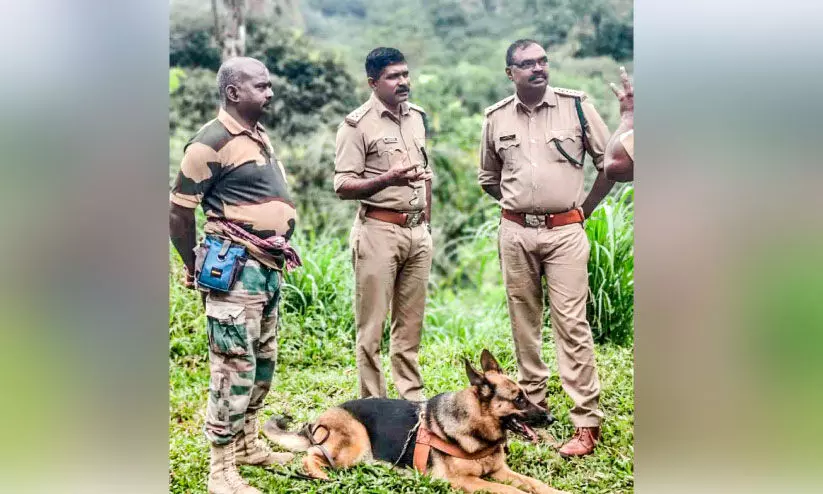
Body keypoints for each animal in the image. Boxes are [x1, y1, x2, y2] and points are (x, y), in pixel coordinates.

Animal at [266, 350, 572, 492]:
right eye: (518, 400)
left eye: (526, 395)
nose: (551, 418)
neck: (476, 428)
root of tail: (321, 418)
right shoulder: (467, 482)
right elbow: (509, 491)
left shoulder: (500, 471)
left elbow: (535, 484)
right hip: (355, 445)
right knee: (311, 454)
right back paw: (319, 475)